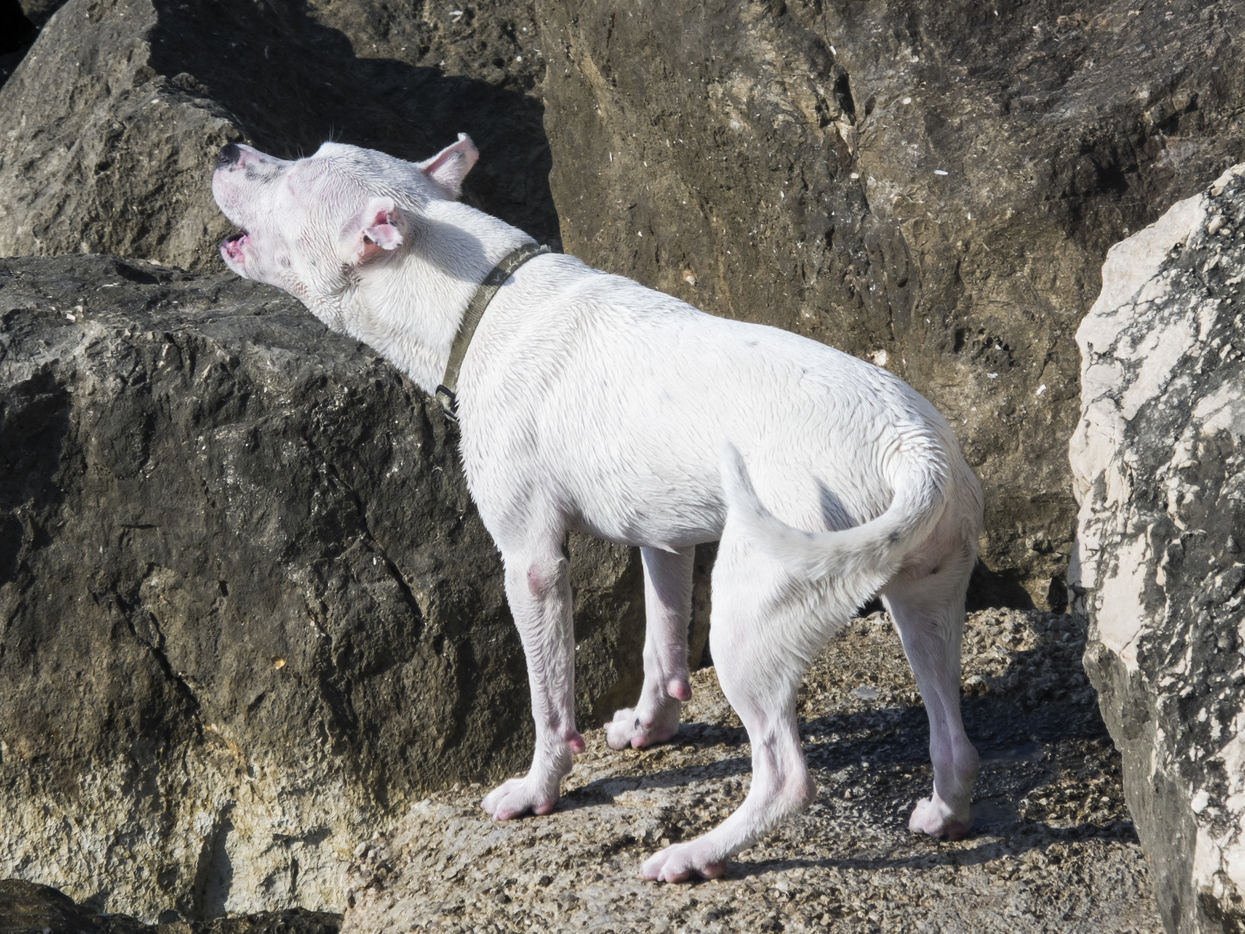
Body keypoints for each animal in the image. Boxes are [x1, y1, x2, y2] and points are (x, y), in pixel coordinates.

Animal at [212, 135, 984, 882]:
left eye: (295, 175)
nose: (226, 150)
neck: (477, 301)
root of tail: (912, 448)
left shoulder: (532, 563)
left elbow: (549, 698)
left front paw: (537, 791)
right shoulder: (664, 539)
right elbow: (661, 639)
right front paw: (649, 726)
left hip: (754, 611)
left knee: (786, 775)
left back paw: (697, 854)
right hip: (924, 594)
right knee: (951, 729)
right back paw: (942, 814)